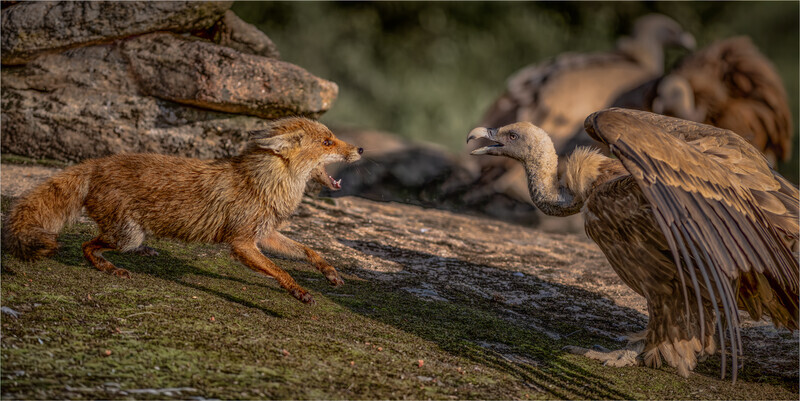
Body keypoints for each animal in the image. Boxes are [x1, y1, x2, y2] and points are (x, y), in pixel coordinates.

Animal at [2, 117, 362, 304]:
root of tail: (98, 162)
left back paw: (144, 253)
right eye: (328, 142)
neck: (264, 183)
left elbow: (310, 252)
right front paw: (299, 292)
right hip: (125, 235)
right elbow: (281, 271)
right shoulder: (242, 243)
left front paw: (330, 273)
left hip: (127, 233)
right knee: (86, 245)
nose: (360, 149)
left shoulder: (265, 234)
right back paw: (109, 268)